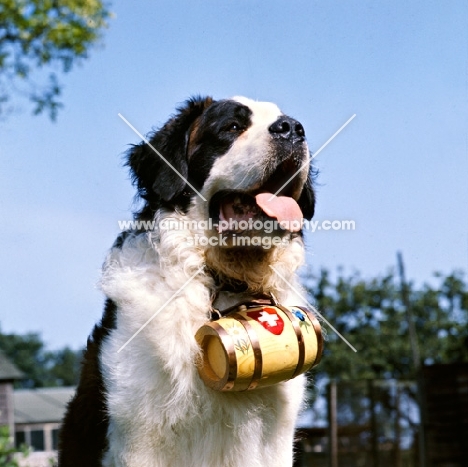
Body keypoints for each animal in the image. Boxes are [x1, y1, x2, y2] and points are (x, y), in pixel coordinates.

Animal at [57, 96, 314, 467]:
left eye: (290, 123)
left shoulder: (276, 439)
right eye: (232, 127)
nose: (292, 129)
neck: (222, 279)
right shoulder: (139, 435)